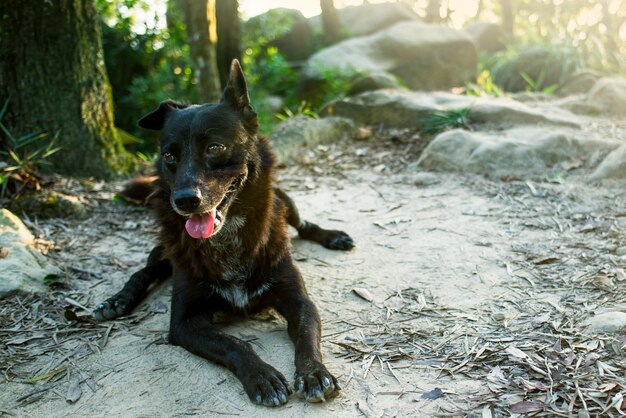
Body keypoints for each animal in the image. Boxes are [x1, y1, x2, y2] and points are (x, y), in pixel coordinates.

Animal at [94, 60, 354, 406]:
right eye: (169, 156)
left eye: (215, 148)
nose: (184, 201)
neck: (227, 238)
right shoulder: (184, 323)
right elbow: (235, 344)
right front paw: (262, 376)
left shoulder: (300, 301)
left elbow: (307, 338)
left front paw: (314, 373)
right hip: (164, 250)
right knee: (143, 272)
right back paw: (117, 301)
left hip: (286, 201)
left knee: (304, 225)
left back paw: (333, 236)